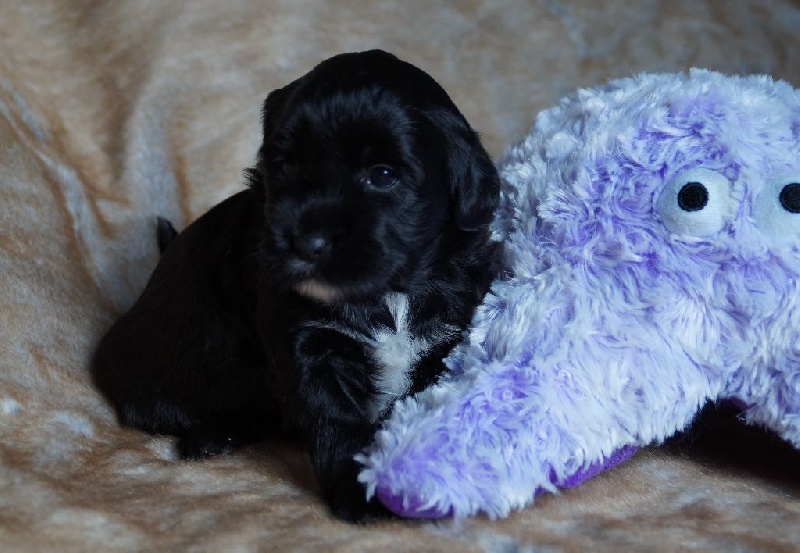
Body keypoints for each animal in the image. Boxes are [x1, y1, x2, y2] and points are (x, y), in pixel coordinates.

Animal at [92, 50, 501, 522]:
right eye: (286, 166)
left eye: (382, 174)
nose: (307, 242)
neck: (387, 293)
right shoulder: (307, 346)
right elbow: (337, 419)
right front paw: (359, 489)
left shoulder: (447, 336)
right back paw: (209, 438)